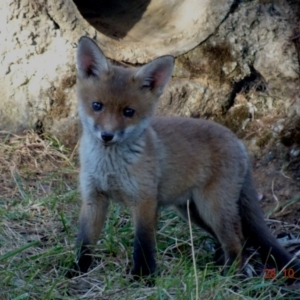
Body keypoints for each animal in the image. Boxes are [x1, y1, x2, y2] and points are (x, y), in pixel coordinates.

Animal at [67, 36, 300, 282]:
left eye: (128, 112)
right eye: (97, 106)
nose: (107, 136)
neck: (109, 167)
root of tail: (237, 140)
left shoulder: (144, 200)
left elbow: (143, 244)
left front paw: (143, 276)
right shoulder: (94, 198)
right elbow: (84, 242)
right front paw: (77, 270)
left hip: (213, 208)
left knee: (237, 240)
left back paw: (228, 277)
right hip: (192, 212)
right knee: (235, 240)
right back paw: (218, 267)